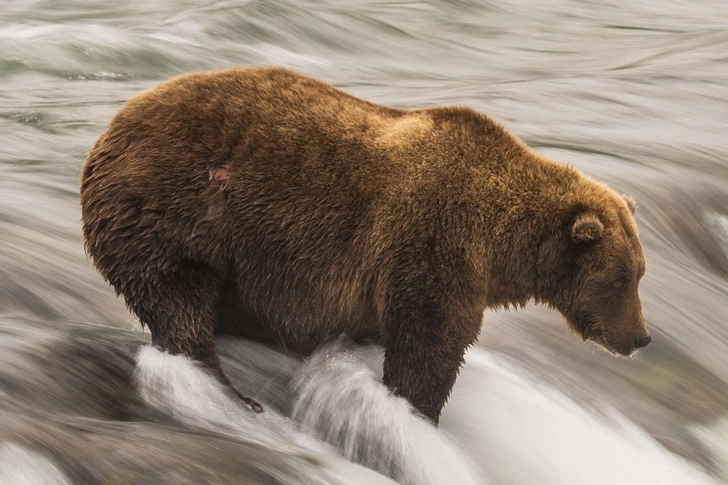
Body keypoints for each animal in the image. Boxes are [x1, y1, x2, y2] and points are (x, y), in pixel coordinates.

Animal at [79, 67, 648, 424]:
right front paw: (416, 415)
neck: (503, 246)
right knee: (179, 297)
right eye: (619, 279)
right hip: (174, 206)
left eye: (641, 274)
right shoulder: (436, 241)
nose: (641, 338)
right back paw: (233, 395)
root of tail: (108, 129)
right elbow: (430, 342)